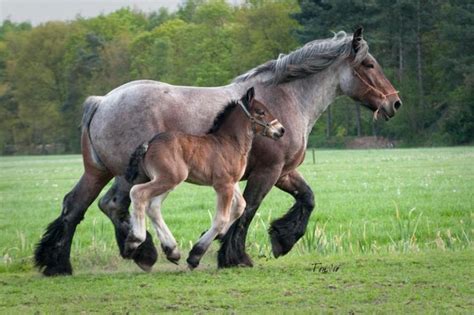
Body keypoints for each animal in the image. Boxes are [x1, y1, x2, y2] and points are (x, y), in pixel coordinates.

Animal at [124, 87, 284, 270]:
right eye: (261, 112)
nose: (281, 130)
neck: (230, 143)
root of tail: (149, 143)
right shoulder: (223, 185)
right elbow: (221, 218)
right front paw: (195, 255)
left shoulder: (232, 182)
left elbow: (240, 206)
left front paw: (218, 235)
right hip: (168, 179)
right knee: (138, 193)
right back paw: (134, 241)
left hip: (167, 181)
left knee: (153, 207)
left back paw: (172, 251)